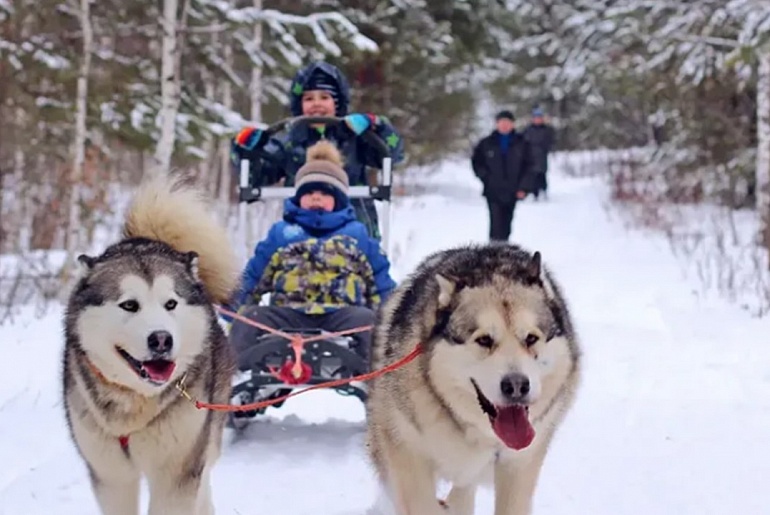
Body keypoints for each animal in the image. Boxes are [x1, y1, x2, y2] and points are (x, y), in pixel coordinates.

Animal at [65, 174, 242, 515]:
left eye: (170, 303)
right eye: (129, 305)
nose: (161, 338)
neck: (135, 403)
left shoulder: (178, 471)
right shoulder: (110, 477)